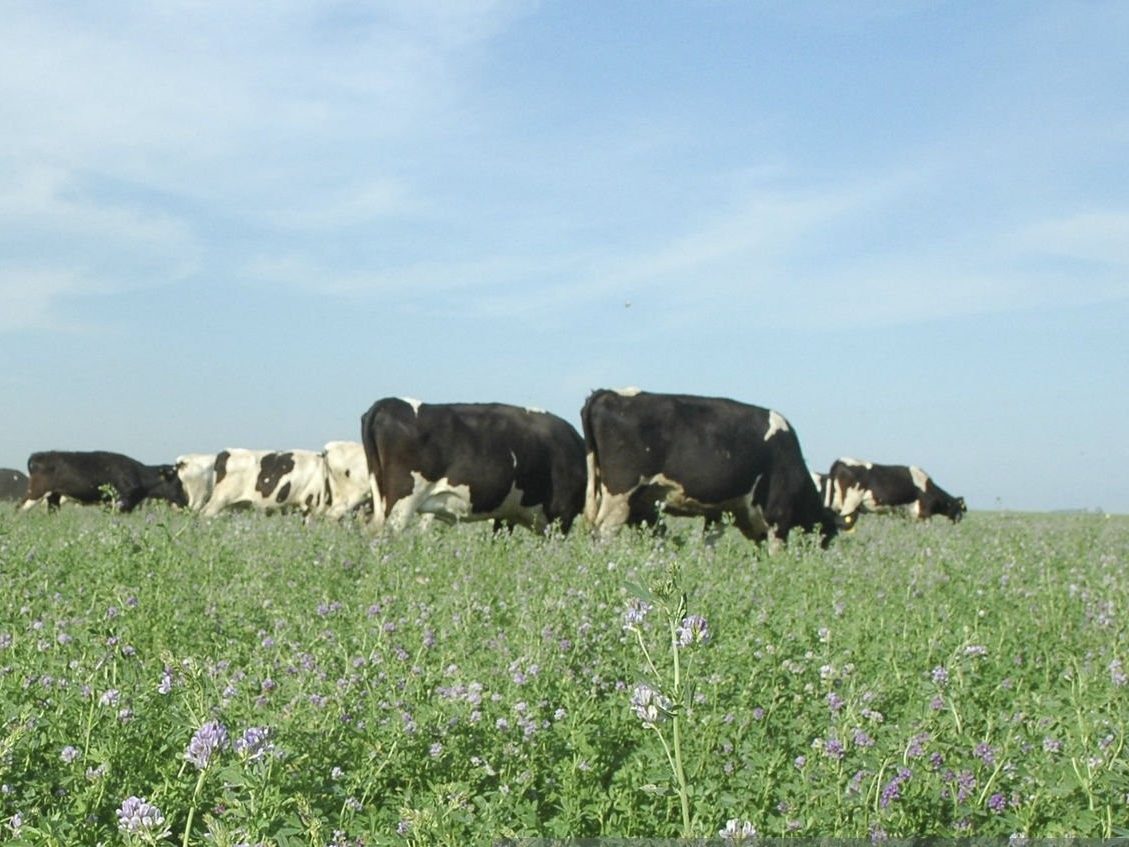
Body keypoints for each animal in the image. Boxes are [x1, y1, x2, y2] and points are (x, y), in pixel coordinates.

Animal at [20, 450, 187, 512]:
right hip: (36, 492)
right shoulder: (120, 501)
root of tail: (38, 455)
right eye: (178, 483)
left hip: (53, 495)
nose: (185, 502)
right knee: (20, 508)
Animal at [581, 388, 837, 547]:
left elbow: (710, 543)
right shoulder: (778, 516)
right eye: (829, 536)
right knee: (605, 532)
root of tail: (605, 393)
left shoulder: (719, 512)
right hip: (620, 495)